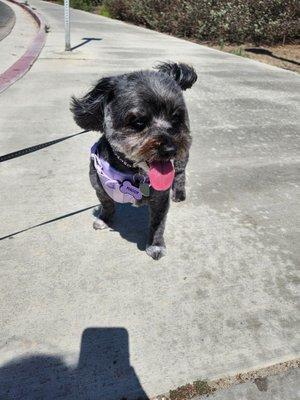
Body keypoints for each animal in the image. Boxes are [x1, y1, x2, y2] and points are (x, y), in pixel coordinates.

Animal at [70, 60, 197, 258]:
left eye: (176, 117)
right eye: (138, 122)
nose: (170, 149)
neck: (132, 172)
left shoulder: (160, 199)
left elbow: (157, 223)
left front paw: (155, 244)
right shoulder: (99, 187)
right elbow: (107, 204)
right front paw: (104, 219)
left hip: (183, 157)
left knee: (180, 174)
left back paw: (179, 193)